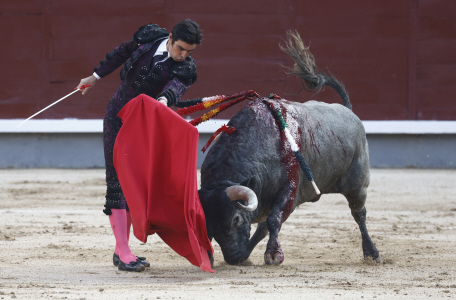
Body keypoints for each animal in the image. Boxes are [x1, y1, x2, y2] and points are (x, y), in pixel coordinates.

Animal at [200, 31, 382, 266]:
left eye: (236, 219)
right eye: (209, 224)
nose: (233, 257)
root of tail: (348, 111)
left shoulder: (290, 188)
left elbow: (274, 219)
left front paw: (273, 255)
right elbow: (266, 223)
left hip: (358, 185)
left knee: (359, 213)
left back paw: (372, 253)